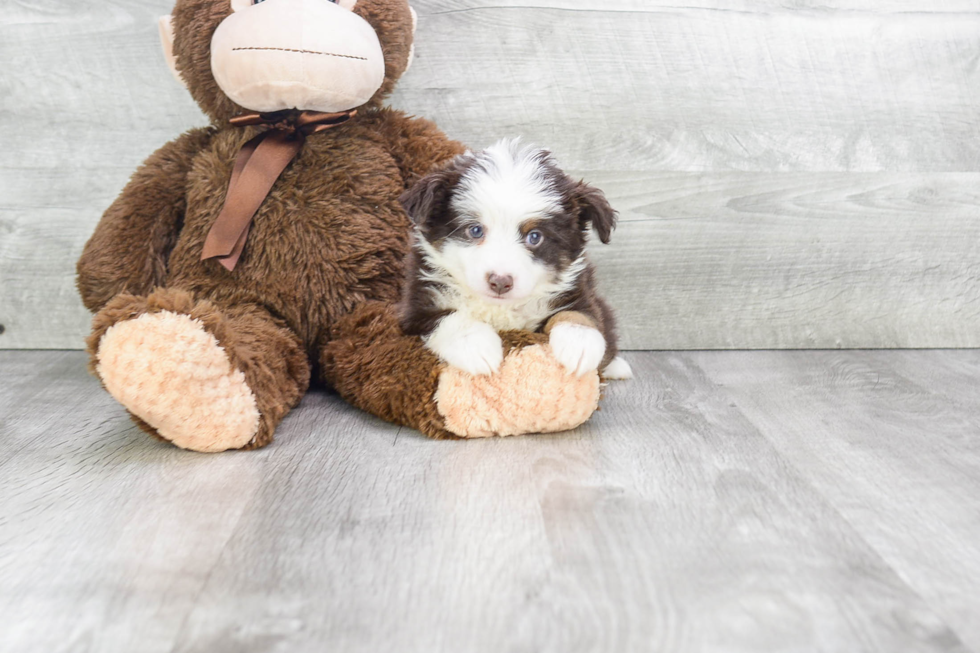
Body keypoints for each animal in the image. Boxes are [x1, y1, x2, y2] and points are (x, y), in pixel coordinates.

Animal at [394, 140, 632, 380]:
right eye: (475, 230)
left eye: (535, 236)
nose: (500, 281)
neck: (500, 308)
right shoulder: (415, 307)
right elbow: (449, 317)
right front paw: (476, 347)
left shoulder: (579, 291)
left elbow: (578, 314)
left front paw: (579, 344)